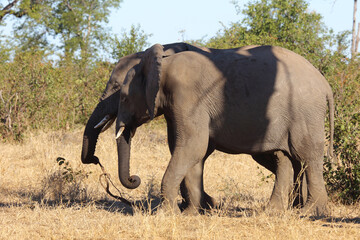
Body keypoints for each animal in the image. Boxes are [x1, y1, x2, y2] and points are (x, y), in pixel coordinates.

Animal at [113, 43, 334, 216]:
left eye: (123, 98)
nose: (134, 178)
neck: (164, 64)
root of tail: (325, 84)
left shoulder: (188, 98)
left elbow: (194, 146)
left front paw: (168, 214)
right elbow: (193, 152)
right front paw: (191, 214)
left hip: (305, 113)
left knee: (307, 156)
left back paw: (309, 212)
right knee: (284, 156)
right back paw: (274, 212)